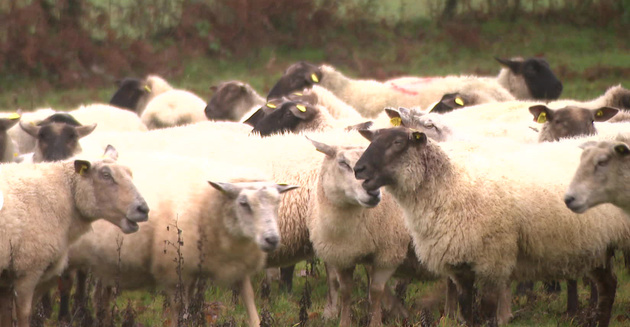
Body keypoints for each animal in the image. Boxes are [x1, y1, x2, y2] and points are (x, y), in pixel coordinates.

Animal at [0, 146, 149, 327]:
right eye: (106, 175)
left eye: (130, 173)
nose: (143, 209)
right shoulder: (28, 269)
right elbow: (23, 314)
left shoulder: (7, 276)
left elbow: (6, 317)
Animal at [65, 152, 298, 326]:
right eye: (244, 203)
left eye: (278, 202)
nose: (272, 239)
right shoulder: (173, 272)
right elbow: (180, 314)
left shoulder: (233, 268)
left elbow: (251, 308)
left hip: (106, 263)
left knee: (100, 298)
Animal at [308, 139, 412, 327]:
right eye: (342, 163)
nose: (373, 192)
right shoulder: (341, 255)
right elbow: (346, 291)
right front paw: (344, 322)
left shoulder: (389, 253)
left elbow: (376, 291)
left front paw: (376, 322)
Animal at [356, 127, 630, 326]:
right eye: (373, 139)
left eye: (397, 143)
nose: (359, 168)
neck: (451, 186)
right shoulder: (460, 266)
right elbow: (467, 312)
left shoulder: (492, 260)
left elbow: (486, 313)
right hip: (596, 243)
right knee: (608, 284)